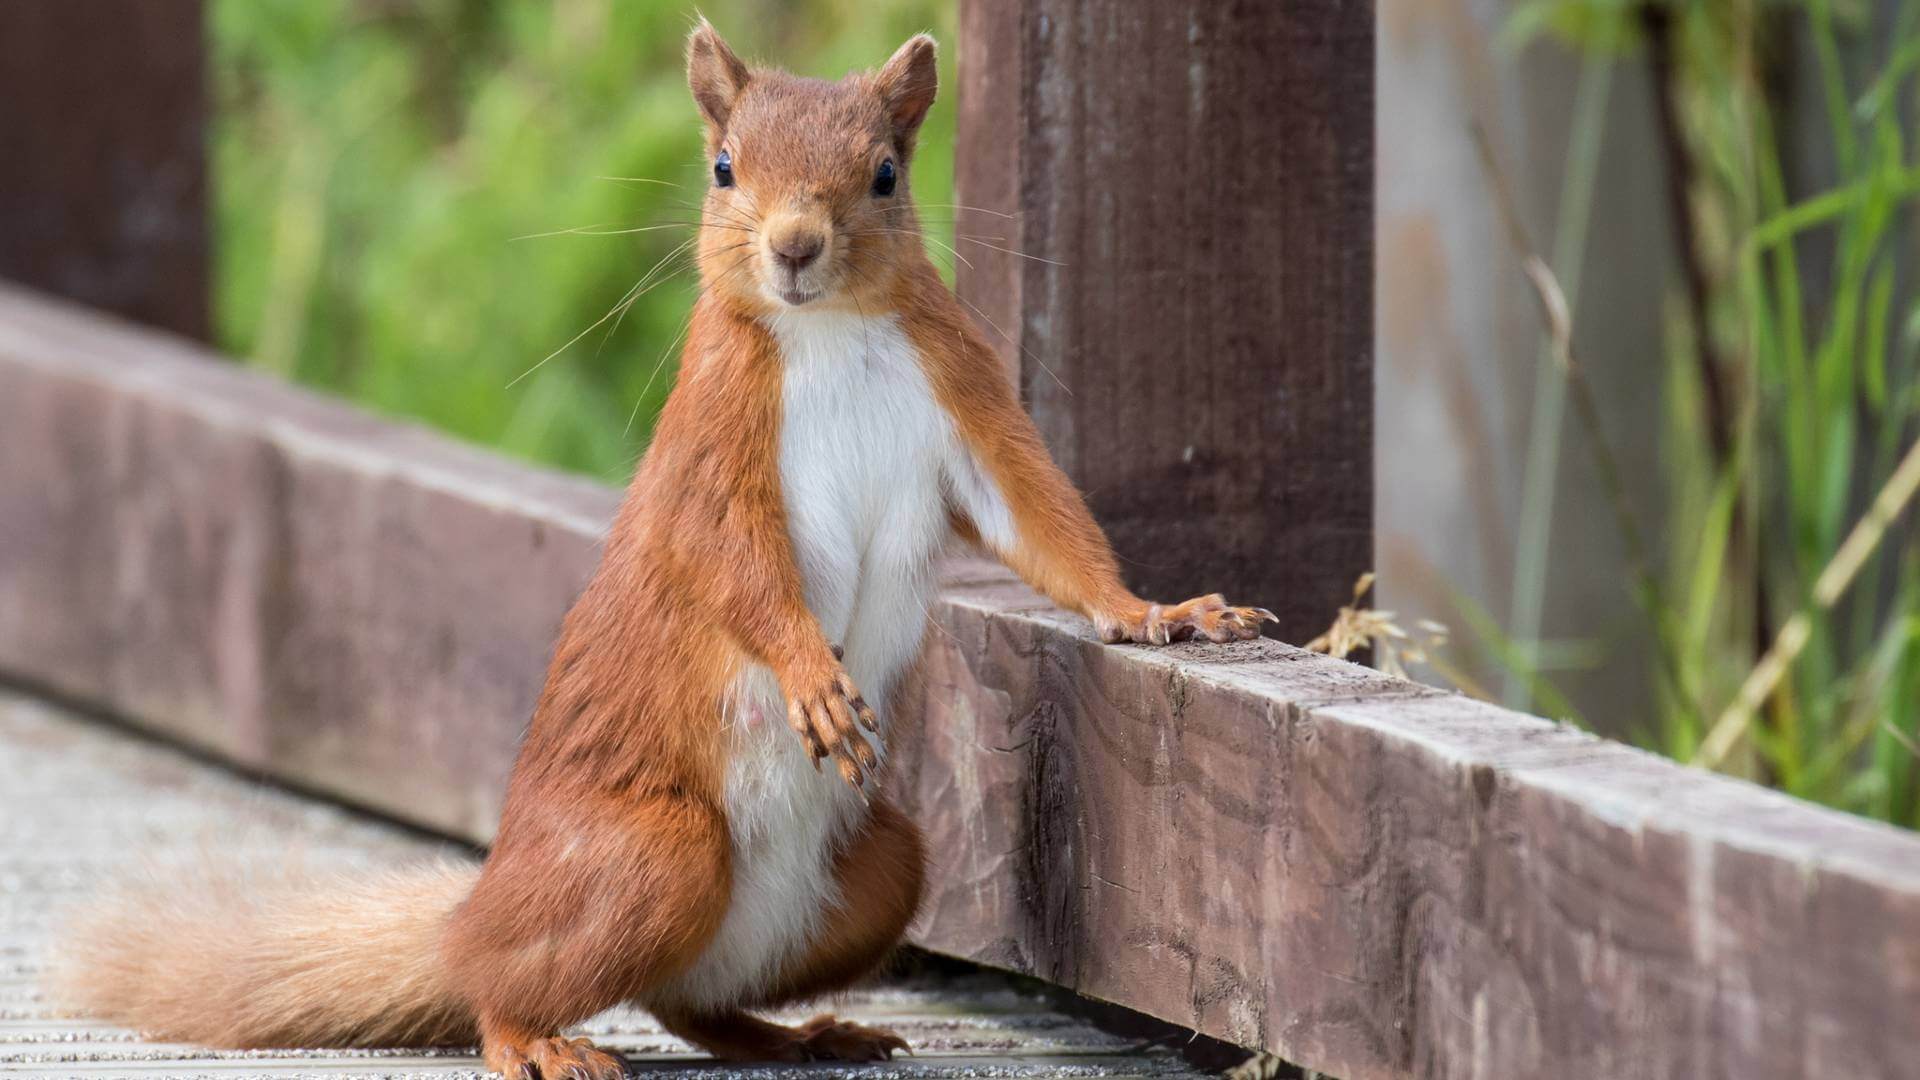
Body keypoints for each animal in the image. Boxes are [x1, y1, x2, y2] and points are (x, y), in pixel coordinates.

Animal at [52, 25, 1267, 1076]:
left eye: (884, 174)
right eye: (724, 168)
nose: (793, 246)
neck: (829, 334)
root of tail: (472, 918)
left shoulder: (966, 402)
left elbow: (1045, 526)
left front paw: (1162, 614)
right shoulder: (711, 449)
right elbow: (735, 568)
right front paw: (811, 676)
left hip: (878, 870)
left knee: (694, 1005)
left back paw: (804, 1034)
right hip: (652, 856)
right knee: (512, 990)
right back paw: (536, 1041)